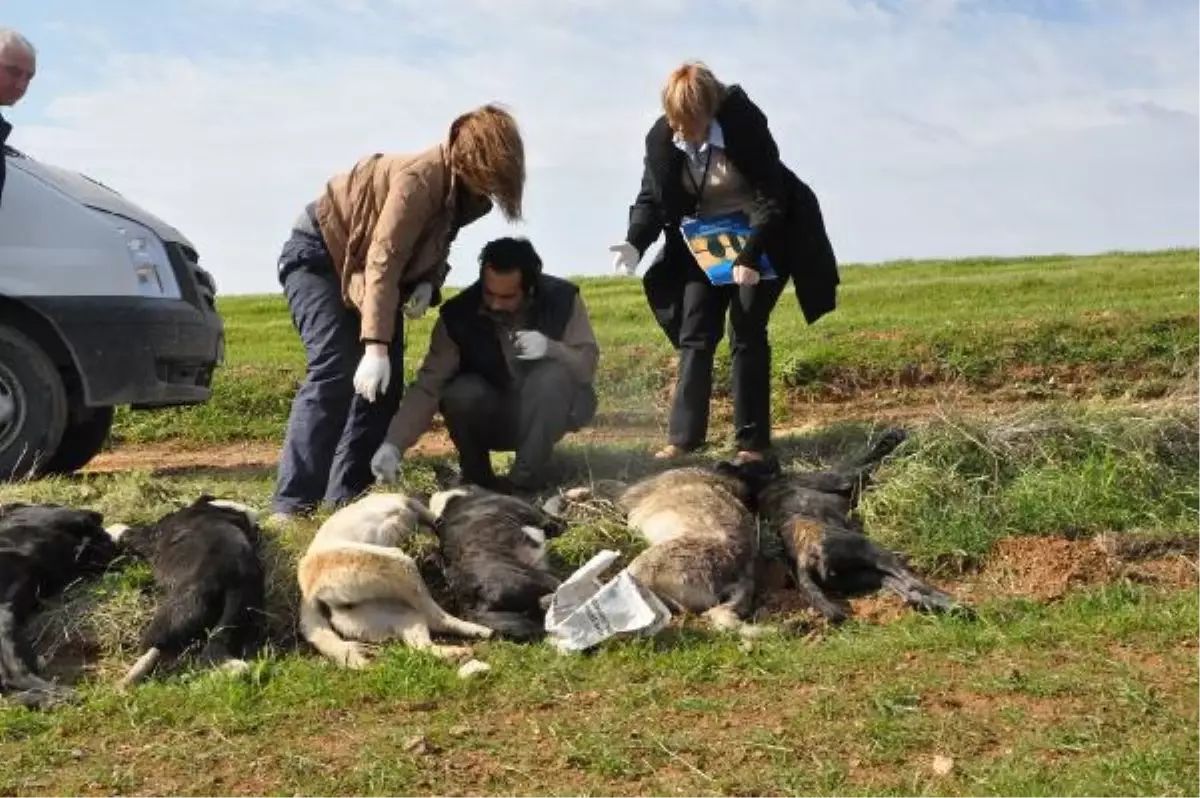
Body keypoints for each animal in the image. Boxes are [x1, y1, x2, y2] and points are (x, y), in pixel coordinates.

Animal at [297, 492, 494, 667]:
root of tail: (309, 592)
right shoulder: (413, 504)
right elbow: (432, 517)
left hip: (399, 613)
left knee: (422, 646)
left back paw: (458, 650)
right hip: (398, 563)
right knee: (436, 618)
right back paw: (479, 632)